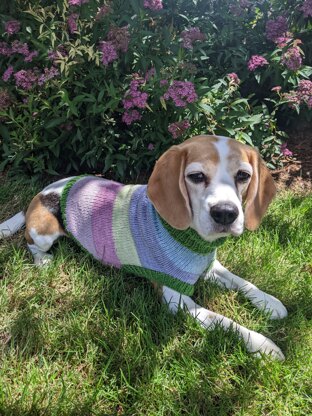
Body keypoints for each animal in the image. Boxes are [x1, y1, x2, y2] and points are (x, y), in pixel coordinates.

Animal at [0, 136, 288, 360]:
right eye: (196, 176)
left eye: (243, 176)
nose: (226, 213)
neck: (193, 240)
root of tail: (42, 192)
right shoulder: (177, 301)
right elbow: (226, 322)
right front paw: (262, 344)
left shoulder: (209, 267)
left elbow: (244, 282)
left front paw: (270, 303)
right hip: (44, 232)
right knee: (29, 242)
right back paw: (43, 261)